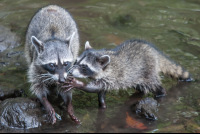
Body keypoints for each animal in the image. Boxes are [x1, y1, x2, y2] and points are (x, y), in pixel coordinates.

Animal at [63, 39, 194, 108]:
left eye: (84, 66)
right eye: (76, 61)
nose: (70, 71)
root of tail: (154, 51)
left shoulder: (112, 76)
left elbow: (95, 87)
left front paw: (79, 84)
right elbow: (101, 91)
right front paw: (102, 105)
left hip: (148, 71)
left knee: (154, 85)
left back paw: (161, 93)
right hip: (136, 77)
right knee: (141, 87)